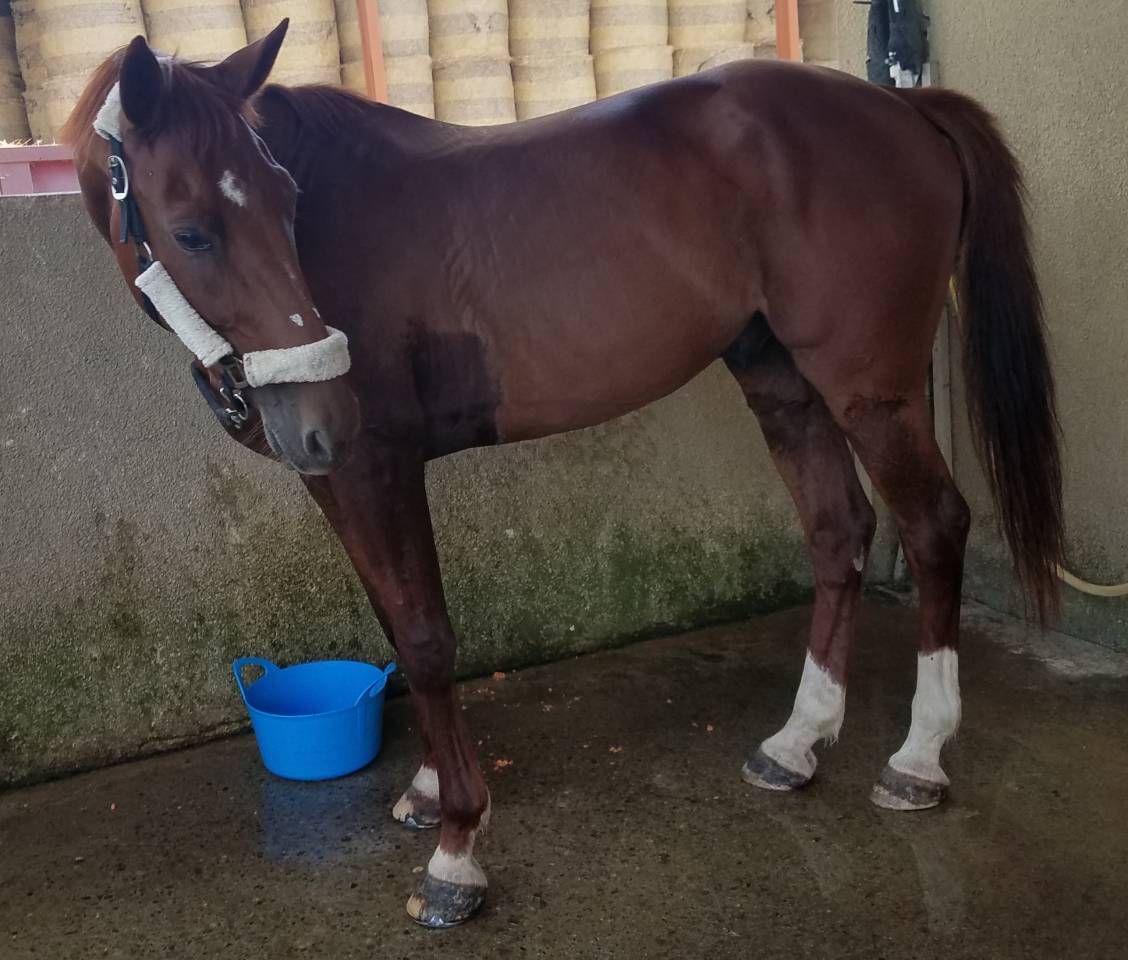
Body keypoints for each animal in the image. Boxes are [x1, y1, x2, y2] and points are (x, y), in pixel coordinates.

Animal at [64, 21, 1064, 927]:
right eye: (192, 231)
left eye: (285, 200)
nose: (322, 420)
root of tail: (903, 106)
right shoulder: (340, 480)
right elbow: (399, 625)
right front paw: (430, 785)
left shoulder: (372, 468)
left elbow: (425, 639)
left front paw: (457, 847)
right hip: (780, 379)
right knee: (839, 532)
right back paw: (798, 740)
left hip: (871, 391)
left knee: (934, 525)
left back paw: (919, 757)